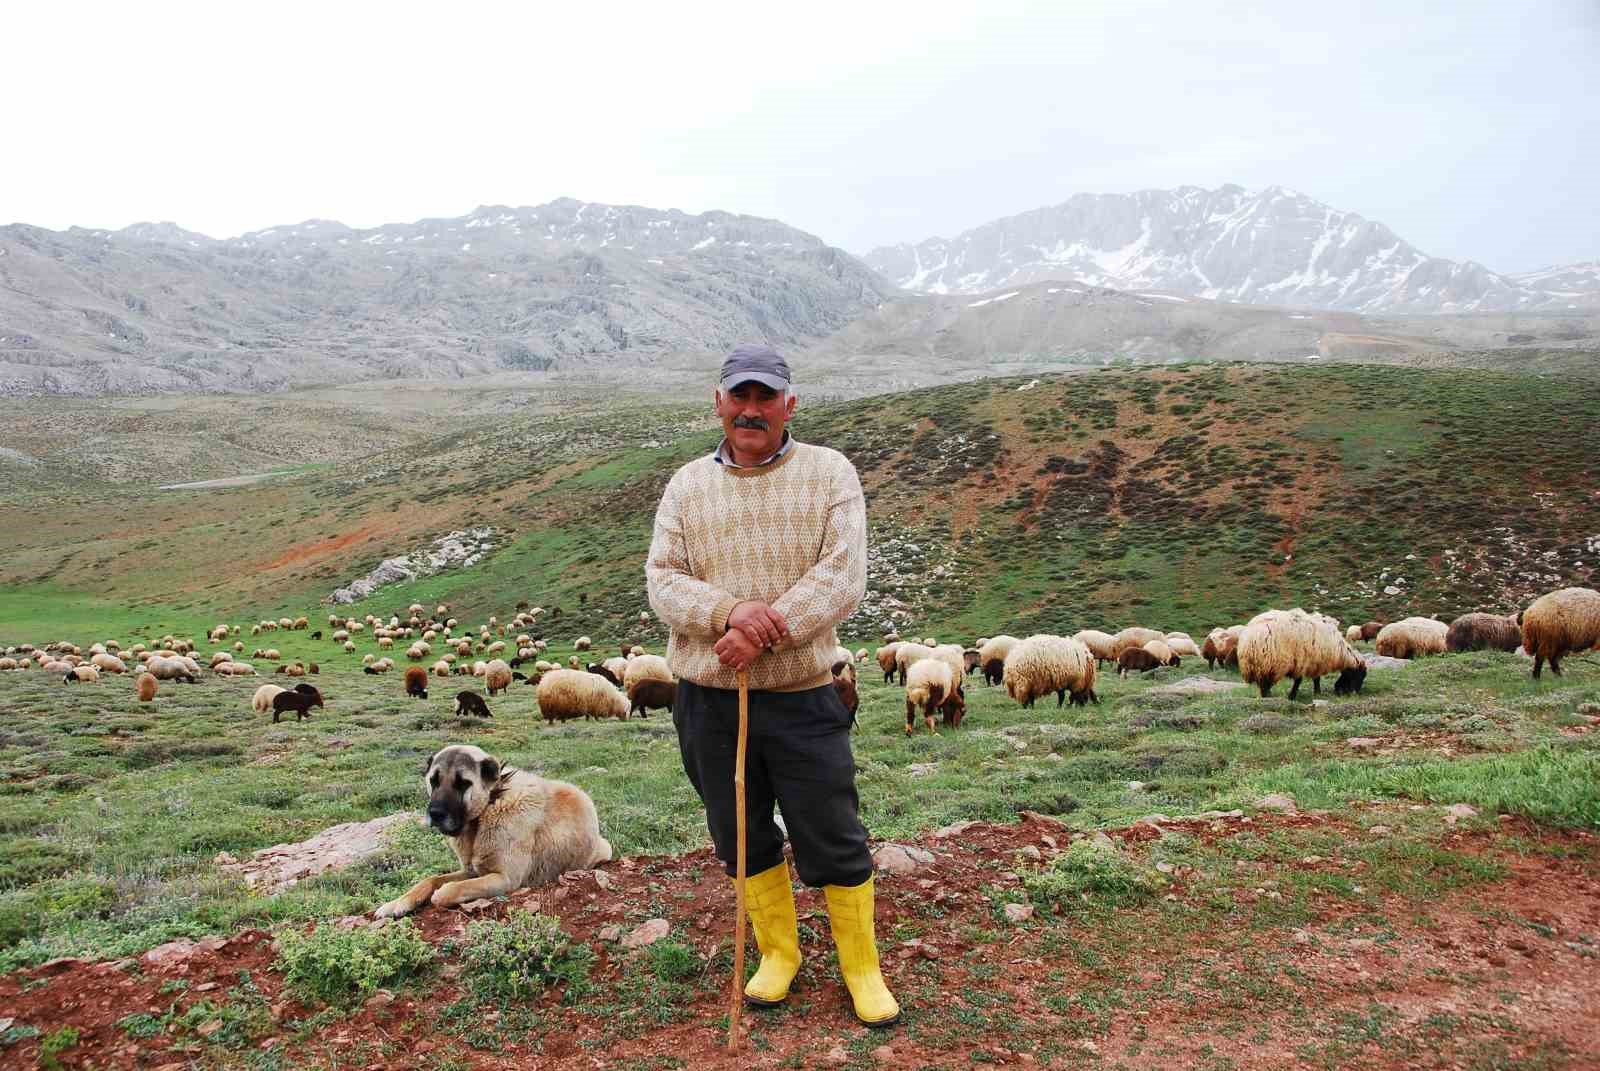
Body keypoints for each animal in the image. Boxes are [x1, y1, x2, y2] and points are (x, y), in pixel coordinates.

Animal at [374, 742, 611, 922]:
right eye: (434, 780)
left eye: (463, 783)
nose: (435, 814)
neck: (489, 805)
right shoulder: (470, 870)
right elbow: (429, 879)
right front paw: (396, 903)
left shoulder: (504, 879)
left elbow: (453, 890)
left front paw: (441, 893)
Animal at [1228, 608, 1369, 701]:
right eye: (1360, 675)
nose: (1355, 693)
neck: (1338, 650)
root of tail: (1252, 638)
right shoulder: (1305, 661)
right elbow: (1300, 680)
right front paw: (1293, 696)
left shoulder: (1313, 661)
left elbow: (1315, 678)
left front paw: (1316, 692)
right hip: (1269, 663)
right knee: (1265, 685)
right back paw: (1268, 698)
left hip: (1259, 665)